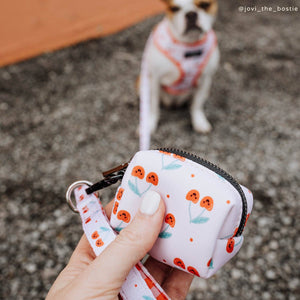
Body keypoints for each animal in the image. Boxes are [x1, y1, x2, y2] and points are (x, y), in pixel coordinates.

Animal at [140, 0, 220, 141]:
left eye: (205, 4)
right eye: (174, 8)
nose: (191, 14)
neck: (189, 45)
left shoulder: (206, 79)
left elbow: (197, 105)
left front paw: (199, 122)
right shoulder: (154, 79)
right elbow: (154, 107)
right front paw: (149, 124)